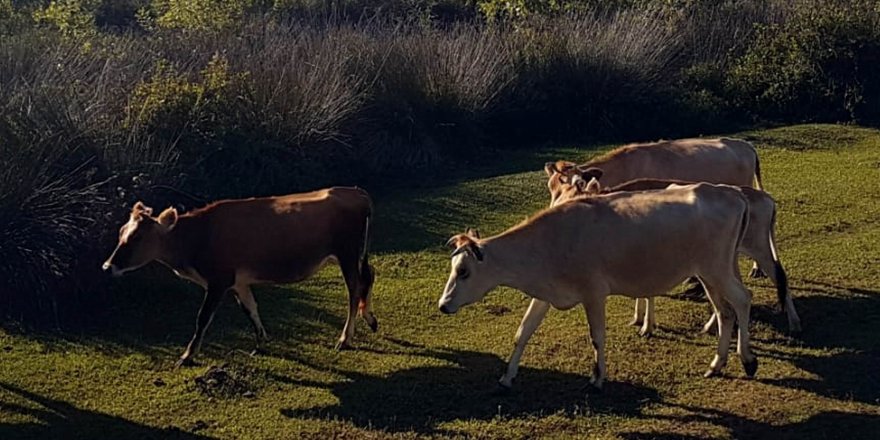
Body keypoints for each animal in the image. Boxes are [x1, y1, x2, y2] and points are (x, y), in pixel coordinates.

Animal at [103, 187, 378, 366]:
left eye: (137, 238)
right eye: (121, 232)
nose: (107, 266)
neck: (198, 235)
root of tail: (356, 192)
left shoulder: (218, 281)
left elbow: (202, 318)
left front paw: (187, 355)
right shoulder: (238, 281)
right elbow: (250, 308)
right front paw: (260, 341)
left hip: (347, 253)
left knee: (354, 289)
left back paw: (344, 338)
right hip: (353, 255)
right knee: (369, 276)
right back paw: (369, 319)